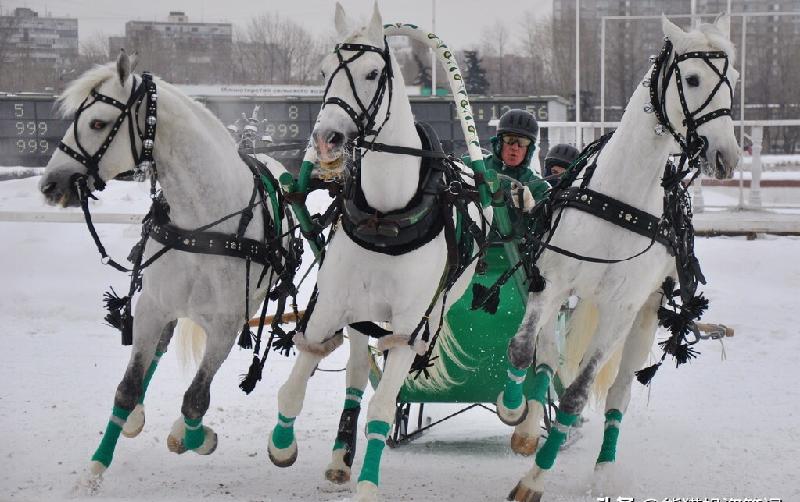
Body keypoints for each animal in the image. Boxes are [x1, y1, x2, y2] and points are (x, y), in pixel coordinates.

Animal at [39, 53, 290, 492]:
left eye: (98, 123)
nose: (50, 184)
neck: (201, 226)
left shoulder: (225, 326)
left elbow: (194, 401)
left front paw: (196, 438)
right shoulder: (153, 307)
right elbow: (127, 388)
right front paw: (94, 469)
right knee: (156, 350)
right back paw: (136, 417)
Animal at [266, 2, 490, 498]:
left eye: (372, 73)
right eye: (323, 71)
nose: (327, 139)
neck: (386, 216)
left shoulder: (409, 324)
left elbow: (384, 407)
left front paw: (368, 481)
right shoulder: (332, 304)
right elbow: (296, 382)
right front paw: (282, 445)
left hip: (430, 312)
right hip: (360, 314)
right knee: (353, 372)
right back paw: (339, 457)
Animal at [496, 15, 740, 502]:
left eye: (734, 81)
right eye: (692, 78)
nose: (727, 156)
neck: (620, 201)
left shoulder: (621, 310)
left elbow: (575, 396)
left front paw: (535, 479)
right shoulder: (551, 281)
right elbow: (521, 349)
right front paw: (514, 413)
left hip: (643, 318)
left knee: (618, 395)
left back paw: (603, 469)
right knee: (546, 357)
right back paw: (529, 426)